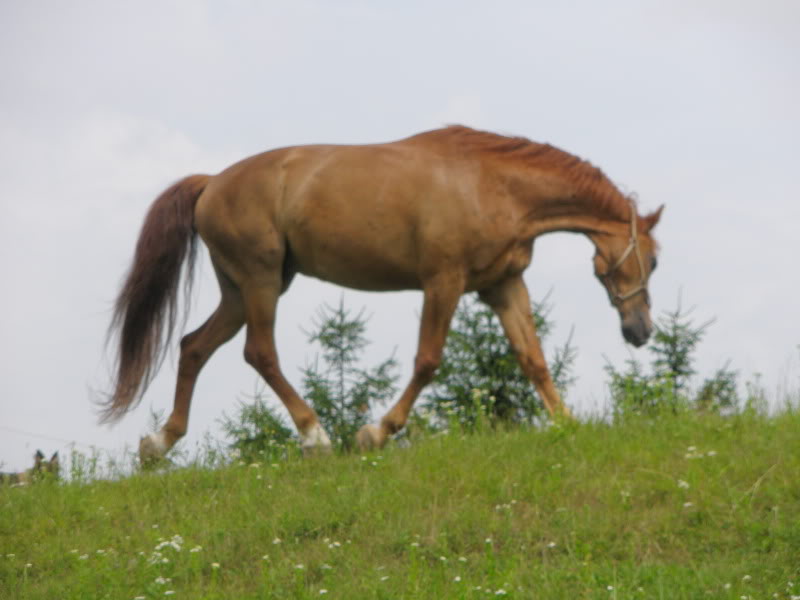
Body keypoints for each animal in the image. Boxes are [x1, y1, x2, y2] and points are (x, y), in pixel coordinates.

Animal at [101, 126, 664, 462]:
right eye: (654, 259)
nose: (640, 331)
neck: (491, 183)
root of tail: (212, 181)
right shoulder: (443, 282)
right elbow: (427, 361)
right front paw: (376, 432)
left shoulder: (503, 286)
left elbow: (534, 359)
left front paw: (568, 424)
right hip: (260, 283)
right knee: (259, 353)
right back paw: (315, 435)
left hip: (241, 290)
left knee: (194, 346)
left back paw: (159, 444)